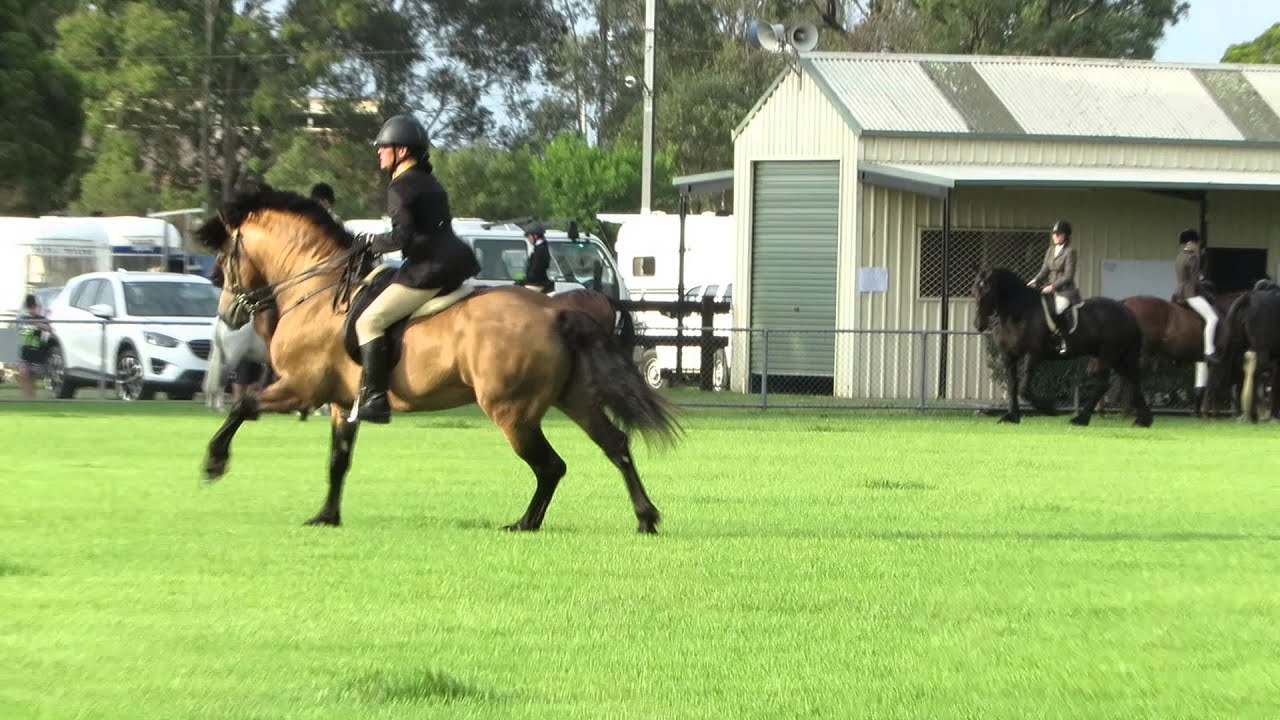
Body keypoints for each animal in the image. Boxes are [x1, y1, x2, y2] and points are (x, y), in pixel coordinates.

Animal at [194, 187, 678, 532]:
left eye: (225, 257)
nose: (229, 312)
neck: (317, 292)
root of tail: (554, 310)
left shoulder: (300, 387)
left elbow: (244, 405)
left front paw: (214, 462)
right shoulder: (339, 401)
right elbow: (338, 460)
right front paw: (326, 516)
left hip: (511, 411)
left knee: (550, 465)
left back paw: (525, 523)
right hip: (573, 398)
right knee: (615, 445)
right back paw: (645, 517)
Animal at [972, 267, 1153, 427]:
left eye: (987, 291)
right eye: (974, 292)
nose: (978, 324)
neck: (1020, 311)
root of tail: (1127, 312)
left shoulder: (1033, 354)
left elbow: (1024, 388)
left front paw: (1050, 409)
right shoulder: (1009, 355)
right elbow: (1012, 385)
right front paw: (1011, 416)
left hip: (1108, 354)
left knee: (1105, 383)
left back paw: (1080, 419)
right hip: (1119, 357)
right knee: (1132, 380)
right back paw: (1143, 420)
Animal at [1218, 281, 1280, 422]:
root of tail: (1249, 298)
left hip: (1241, 348)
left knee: (1244, 374)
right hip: (1260, 350)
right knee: (1255, 373)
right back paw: (1253, 415)